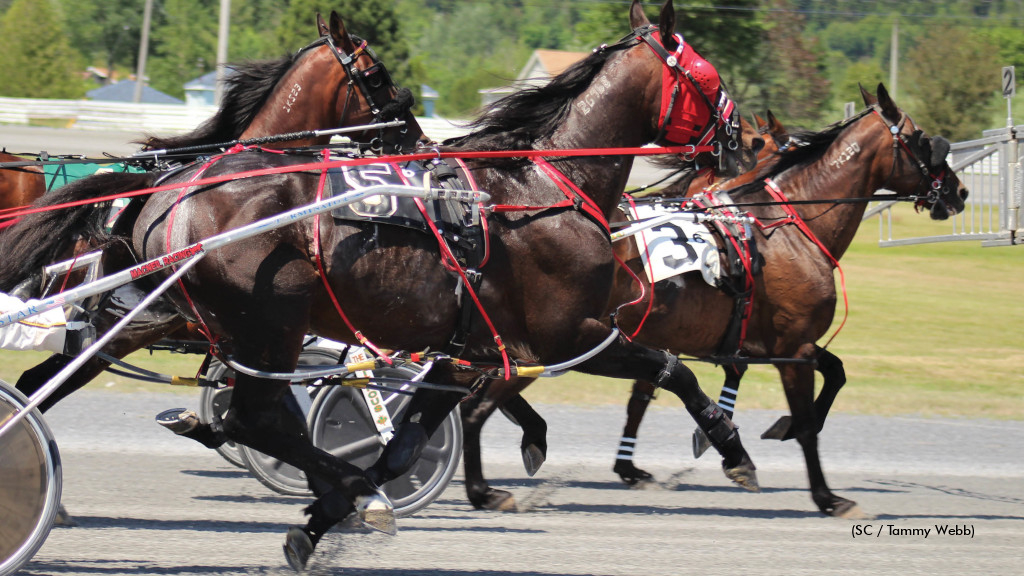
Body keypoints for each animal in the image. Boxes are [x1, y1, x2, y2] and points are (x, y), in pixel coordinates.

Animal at [0, 0, 761, 565]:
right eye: (708, 74)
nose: (742, 140)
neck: (544, 189)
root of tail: (170, 193)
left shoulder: (464, 348)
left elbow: (406, 443)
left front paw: (328, 515)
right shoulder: (567, 333)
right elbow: (672, 368)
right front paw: (732, 449)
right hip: (265, 319)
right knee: (250, 414)